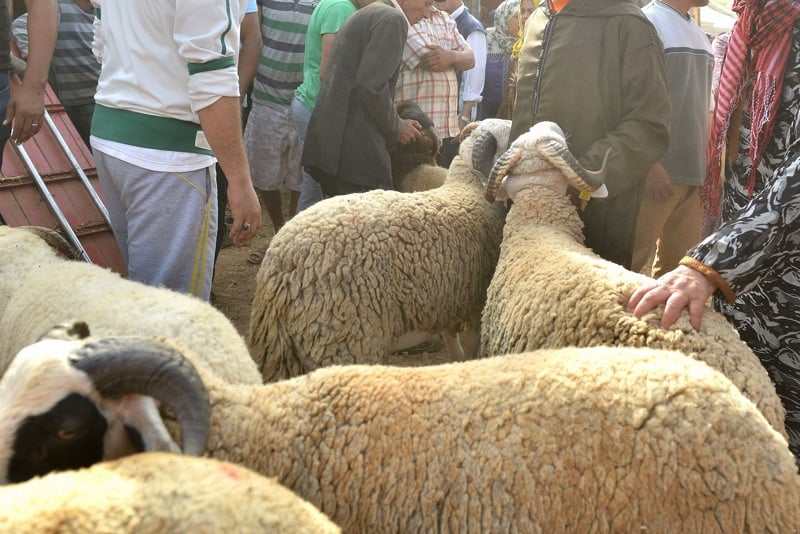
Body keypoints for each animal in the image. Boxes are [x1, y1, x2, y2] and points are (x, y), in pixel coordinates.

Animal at [247, 119, 510, 384]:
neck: (468, 187)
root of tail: (279, 271)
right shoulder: (475, 305)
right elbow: (471, 349)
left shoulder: (451, 300)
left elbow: (452, 342)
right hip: (343, 341)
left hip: (286, 356)